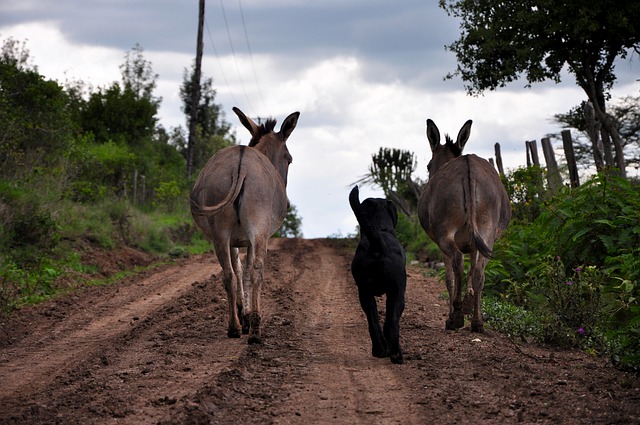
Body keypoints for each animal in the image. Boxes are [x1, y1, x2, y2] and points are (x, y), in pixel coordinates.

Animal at [348, 184, 408, 362]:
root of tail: (377, 243)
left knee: (373, 320)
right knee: (392, 322)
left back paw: (381, 350)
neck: (380, 228)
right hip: (397, 293)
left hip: (364, 292)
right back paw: (394, 354)